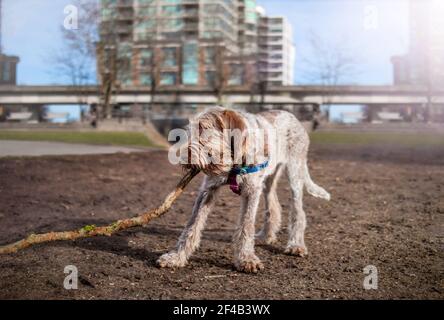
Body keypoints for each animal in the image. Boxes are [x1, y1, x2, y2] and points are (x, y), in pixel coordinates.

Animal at [157, 107, 330, 272]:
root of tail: (293, 117)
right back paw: (266, 235)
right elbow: (192, 225)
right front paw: (176, 256)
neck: (234, 162)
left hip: (295, 173)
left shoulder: (251, 190)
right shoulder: (208, 189)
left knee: (298, 211)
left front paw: (246, 259)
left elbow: (246, 225)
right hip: (268, 180)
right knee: (273, 205)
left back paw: (296, 244)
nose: (182, 157)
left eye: (203, 129)